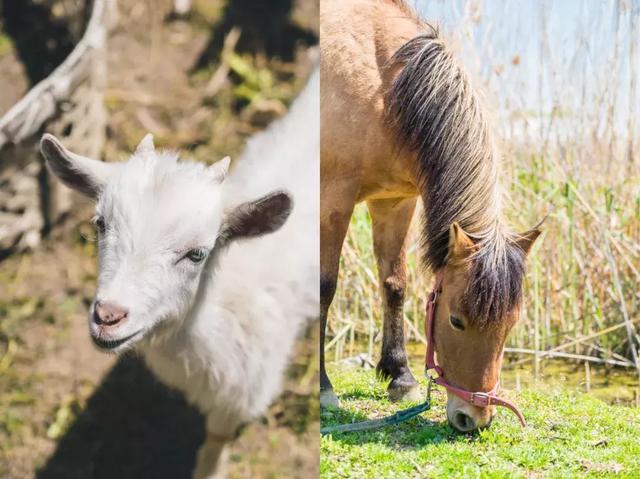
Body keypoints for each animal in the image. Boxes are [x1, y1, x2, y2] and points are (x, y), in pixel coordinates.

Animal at [320, 0, 540, 436]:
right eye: (456, 321)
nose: (474, 418)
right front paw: (322, 388)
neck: (384, 85)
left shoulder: (396, 201)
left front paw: (400, 377)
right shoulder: (333, 199)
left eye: (511, 324)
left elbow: (394, 285)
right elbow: (323, 288)